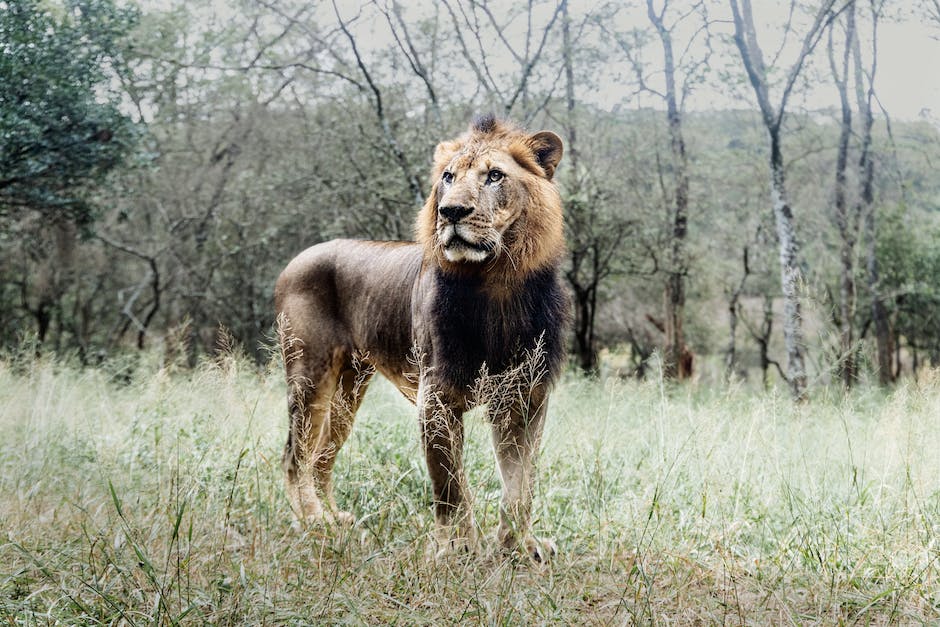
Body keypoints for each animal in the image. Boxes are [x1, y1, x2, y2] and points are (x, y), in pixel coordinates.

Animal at [272, 114, 564, 564]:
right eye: (448, 177)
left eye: (495, 176)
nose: (451, 211)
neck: (496, 285)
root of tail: (296, 259)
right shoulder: (437, 396)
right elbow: (450, 484)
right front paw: (458, 548)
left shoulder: (524, 397)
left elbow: (520, 484)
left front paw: (519, 547)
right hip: (309, 374)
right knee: (294, 456)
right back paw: (314, 522)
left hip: (350, 386)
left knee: (321, 456)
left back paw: (336, 519)